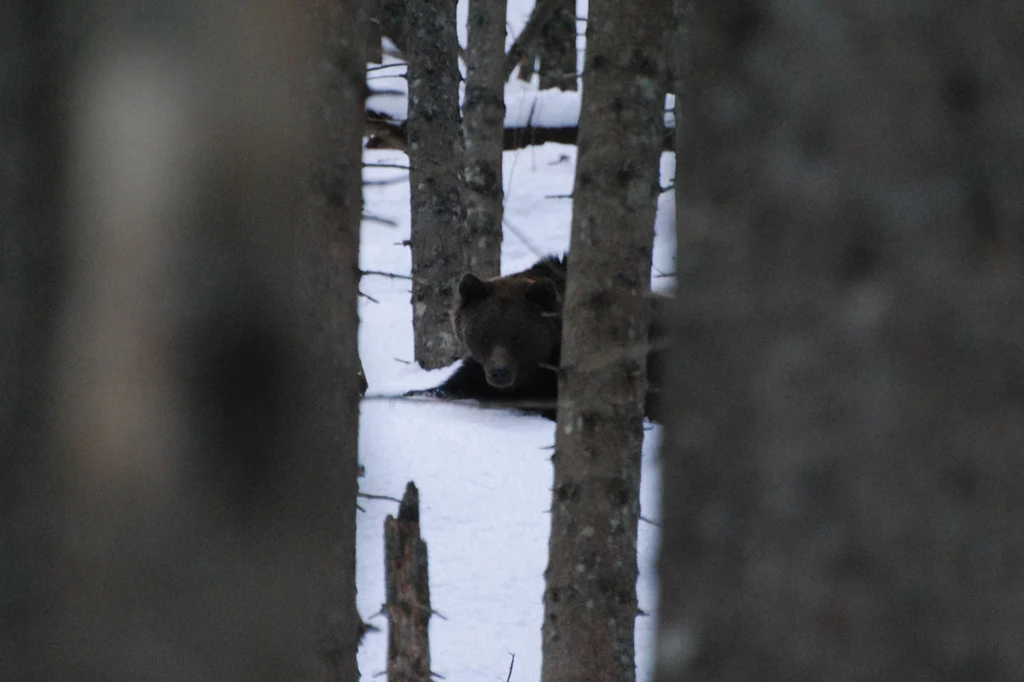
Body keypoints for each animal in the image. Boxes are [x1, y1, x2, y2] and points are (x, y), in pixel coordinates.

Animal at [403, 251, 667, 417]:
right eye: (484, 336)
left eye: (518, 337)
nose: (500, 372)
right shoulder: (478, 368)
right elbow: (451, 385)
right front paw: (416, 392)